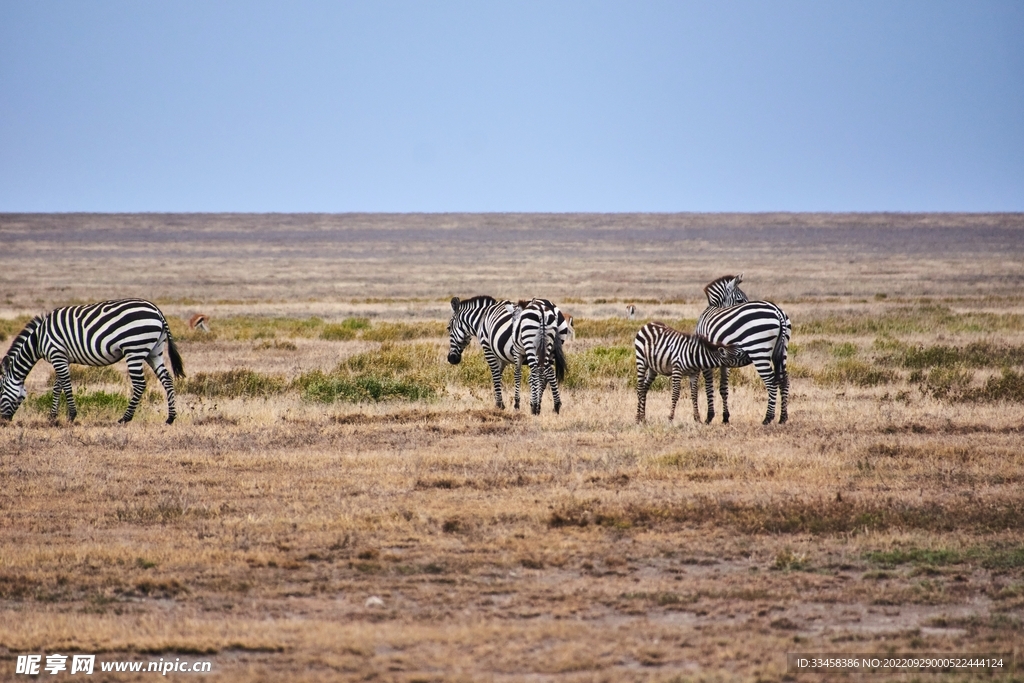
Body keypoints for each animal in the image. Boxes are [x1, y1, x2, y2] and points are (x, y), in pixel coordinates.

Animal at [1, 296, 184, 421]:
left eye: (1, 390)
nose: (4, 420)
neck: (39, 339)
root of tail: (157, 311)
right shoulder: (63, 358)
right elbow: (58, 385)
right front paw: (52, 416)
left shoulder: (57, 353)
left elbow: (65, 384)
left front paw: (71, 415)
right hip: (154, 351)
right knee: (167, 378)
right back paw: (170, 418)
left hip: (134, 349)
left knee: (140, 384)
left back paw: (125, 418)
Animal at [696, 274, 790, 423]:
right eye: (740, 300)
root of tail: (777, 311)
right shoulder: (724, 360)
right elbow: (723, 388)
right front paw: (725, 417)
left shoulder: (705, 356)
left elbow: (709, 386)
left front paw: (709, 417)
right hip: (782, 350)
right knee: (784, 380)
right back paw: (783, 417)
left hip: (758, 350)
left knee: (771, 381)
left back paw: (768, 418)